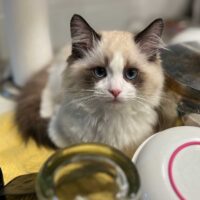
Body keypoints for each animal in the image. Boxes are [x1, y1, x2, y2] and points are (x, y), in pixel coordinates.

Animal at [15, 14, 165, 158]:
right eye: (99, 72)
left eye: (131, 73)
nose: (115, 91)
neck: (110, 121)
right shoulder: (57, 135)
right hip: (56, 82)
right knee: (46, 92)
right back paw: (45, 113)